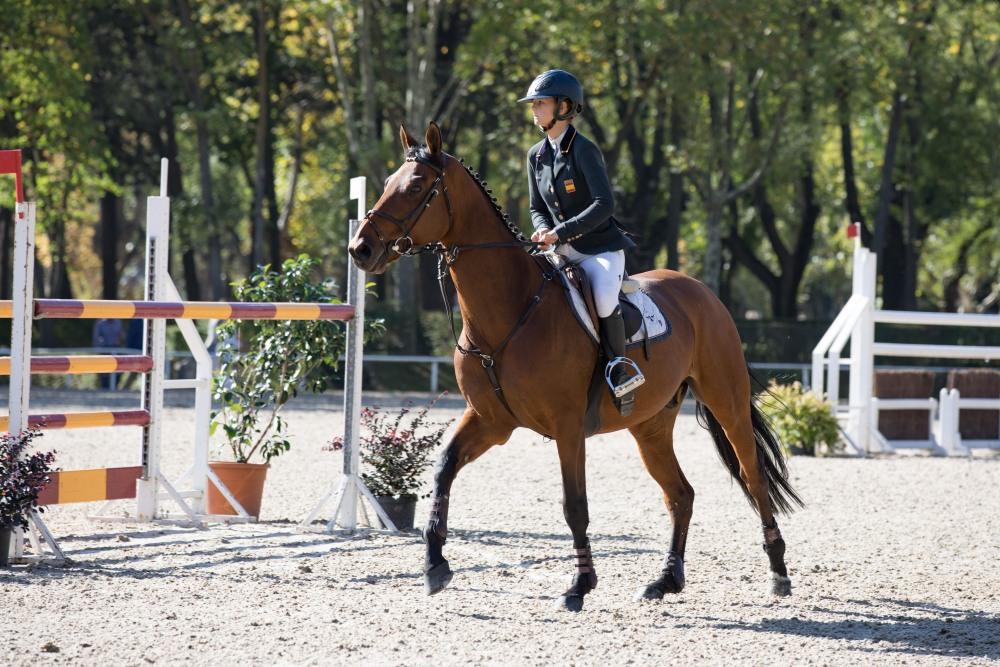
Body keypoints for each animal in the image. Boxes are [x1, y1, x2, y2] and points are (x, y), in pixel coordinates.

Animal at [348, 121, 800, 612]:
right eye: (387, 182)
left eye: (415, 186)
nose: (360, 249)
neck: (509, 311)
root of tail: (700, 291)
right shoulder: (491, 421)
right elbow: (443, 469)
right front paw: (434, 564)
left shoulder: (566, 426)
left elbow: (574, 506)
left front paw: (579, 585)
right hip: (650, 425)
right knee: (681, 495)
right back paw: (665, 580)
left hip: (726, 402)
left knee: (753, 477)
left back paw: (778, 574)